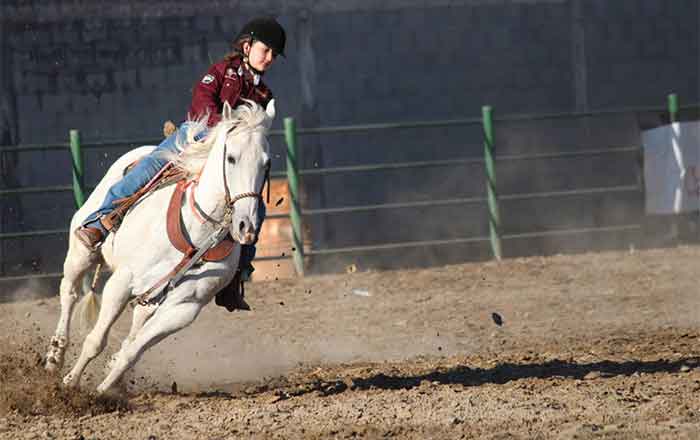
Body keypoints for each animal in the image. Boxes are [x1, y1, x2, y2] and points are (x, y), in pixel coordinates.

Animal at [44, 100, 275, 393]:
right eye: (231, 158)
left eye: (266, 163)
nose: (246, 226)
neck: (198, 232)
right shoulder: (122, 281)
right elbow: (96, 340)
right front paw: (71, 384)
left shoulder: (183, 308)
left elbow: (133, 352)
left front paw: (104, 390)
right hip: (82, 252)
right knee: (70, 292)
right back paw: (54, 357)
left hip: (153, 298)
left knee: (135, 326)